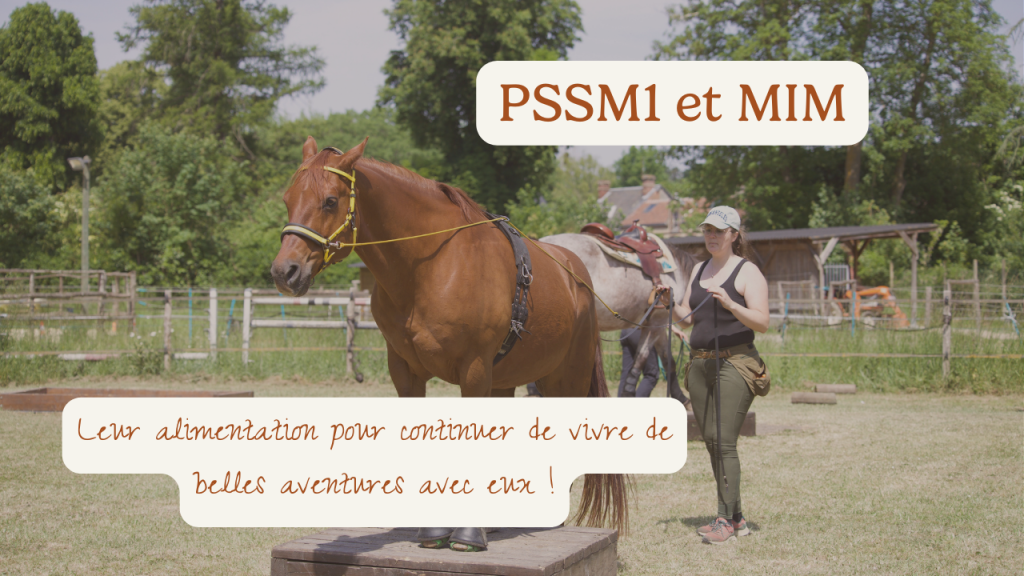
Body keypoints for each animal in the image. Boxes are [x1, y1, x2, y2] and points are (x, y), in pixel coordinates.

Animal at [270, 136, 627, 551]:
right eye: (287, 199)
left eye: (330, 201)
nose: (284, 271)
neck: (429, 269)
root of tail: (578, 277)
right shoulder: (406, 373)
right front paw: (433, 530)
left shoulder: (474, 372)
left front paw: (468, 534)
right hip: (505, 381)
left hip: (565, 380)